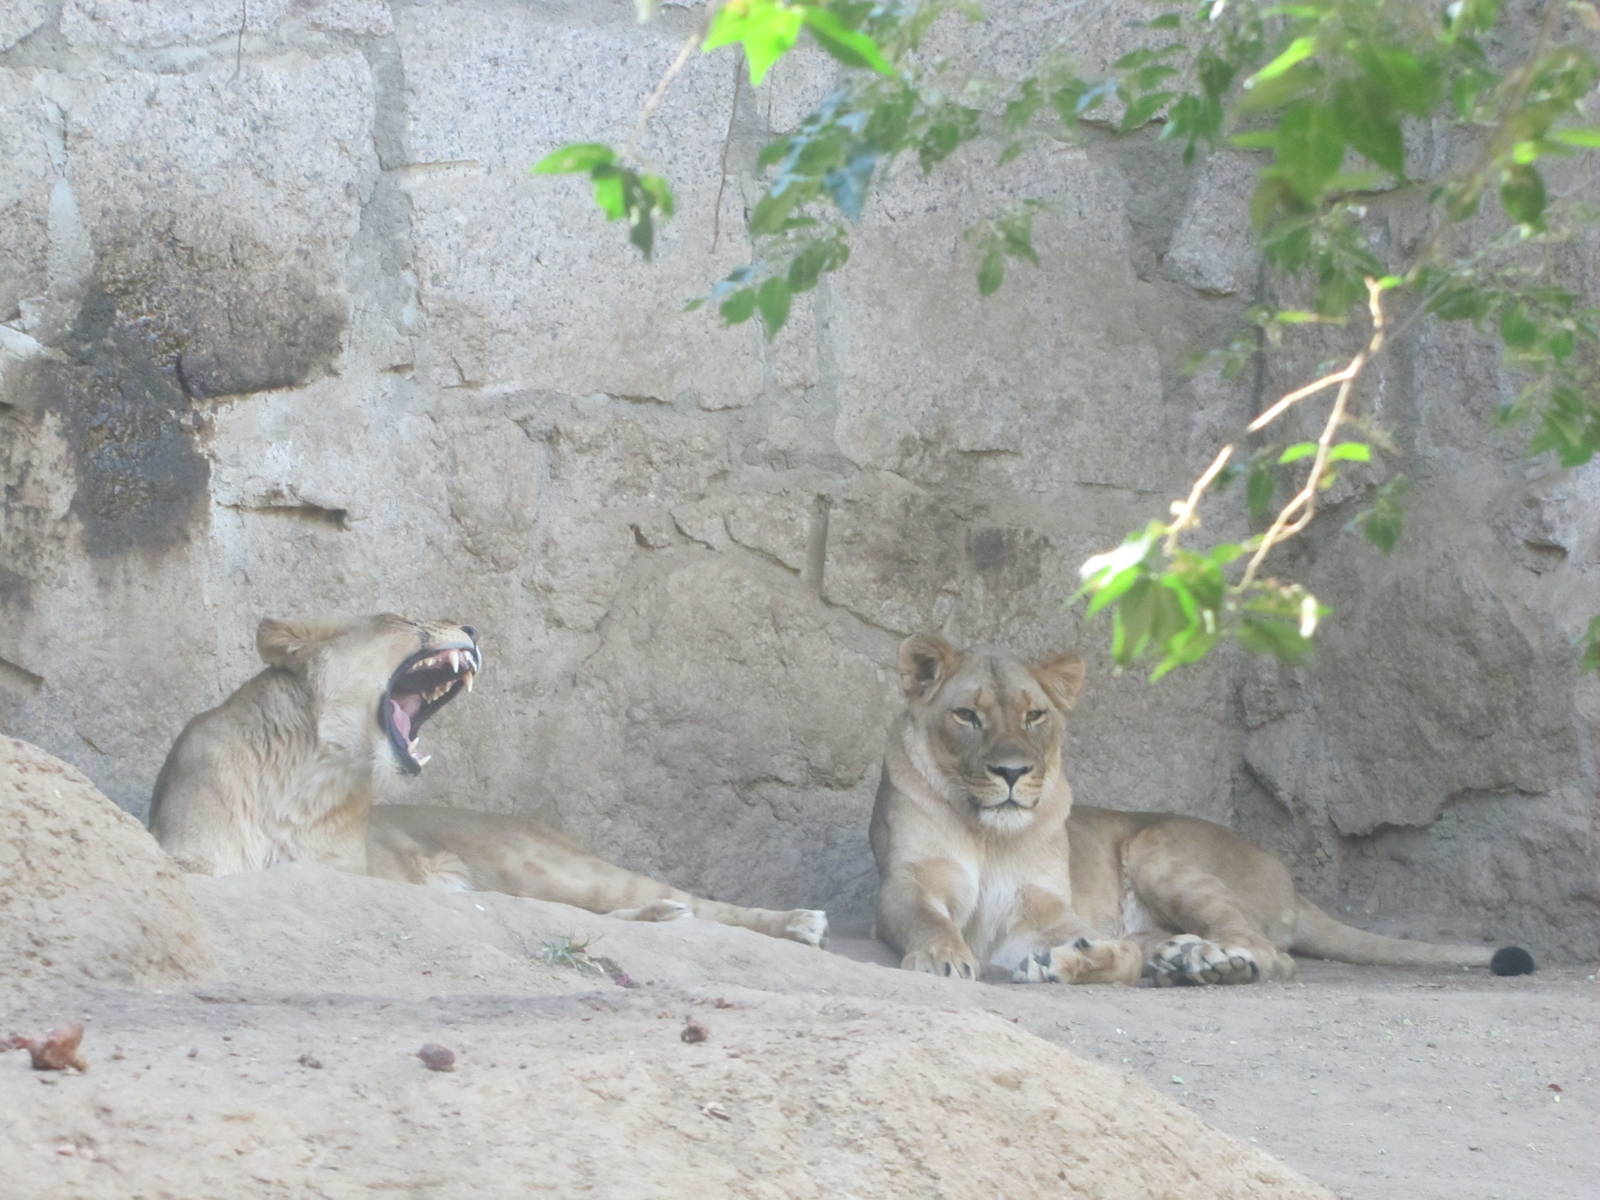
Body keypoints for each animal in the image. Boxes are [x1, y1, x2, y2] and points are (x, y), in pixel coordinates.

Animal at [148, 614, 827, 948]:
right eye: (405, 620)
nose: (472, 630)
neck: (312, 774)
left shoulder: (353, 874)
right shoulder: (188, 856)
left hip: (547, 866)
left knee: (682, 900)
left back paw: (795, 922)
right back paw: (664, 918)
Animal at [870, 633, 1535, 986]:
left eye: (1035, 716)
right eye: (967, 716)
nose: (1012, 773)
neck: (988, 833)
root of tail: (1291, 884)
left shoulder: (1040, 910)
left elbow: (1103, 949)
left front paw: (1078, 959)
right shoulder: (908, 883)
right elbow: (929, 919)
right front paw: (943, 956)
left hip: (1158, 848)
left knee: (1272, 953)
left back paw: (1213, 963)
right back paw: (1181, 959)